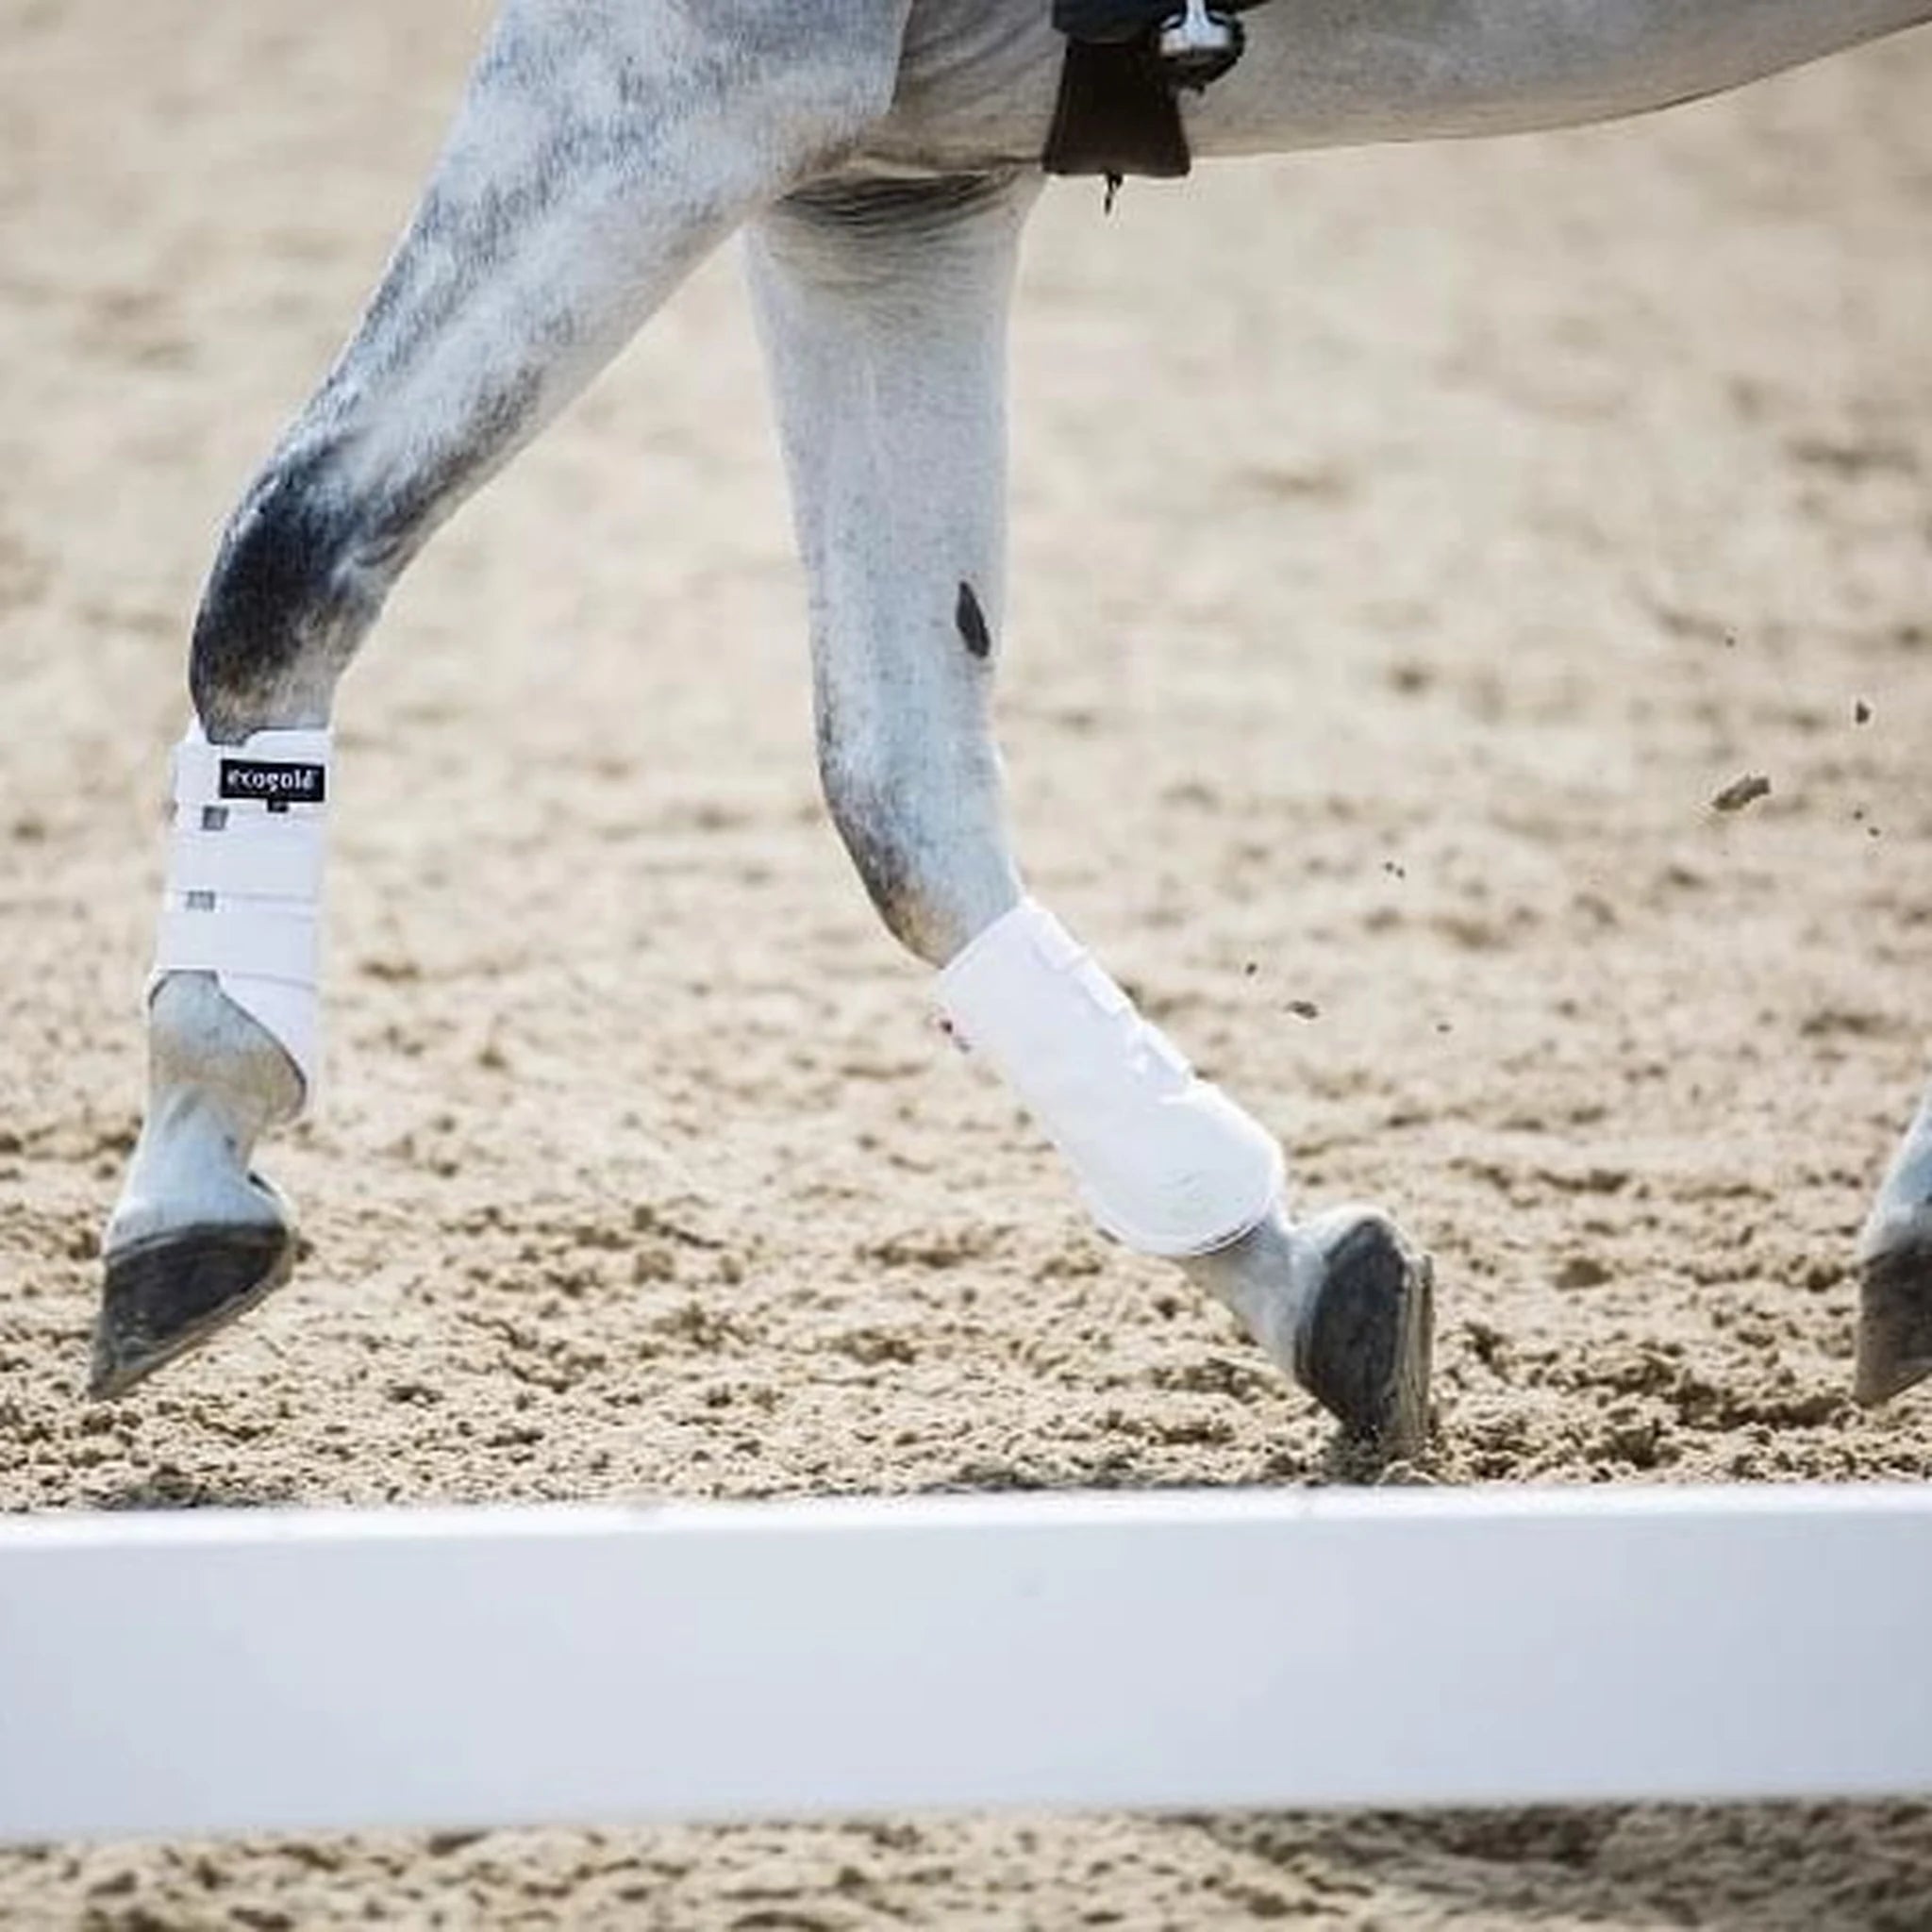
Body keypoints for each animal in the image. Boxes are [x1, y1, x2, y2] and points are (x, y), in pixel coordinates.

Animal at [95, 0, 1932, 1453]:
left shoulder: (698, 56)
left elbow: (290, 550)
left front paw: (191, 1161)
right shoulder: (878, 187)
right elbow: (894, 776)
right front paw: (1274, 1260)